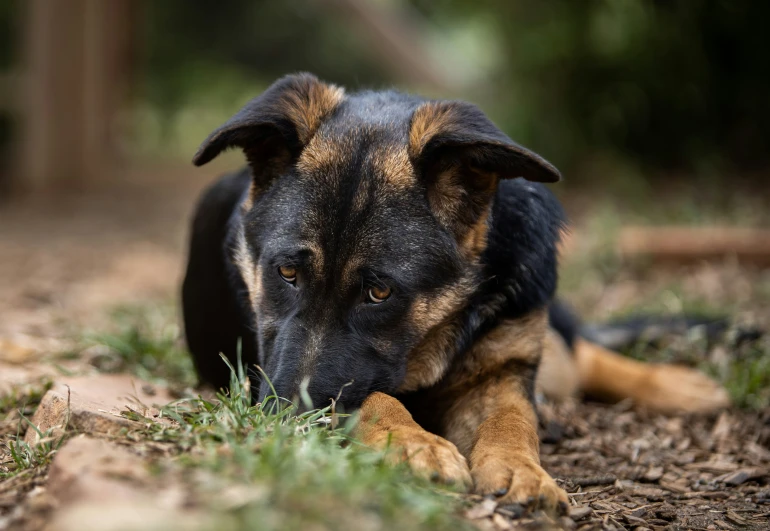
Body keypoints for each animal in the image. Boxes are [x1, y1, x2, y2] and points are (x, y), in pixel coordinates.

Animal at [183, 72, 728, 512]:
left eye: (379, 292)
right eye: (286, 272)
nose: (288, 419)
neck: (438, 328)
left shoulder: (498, 371)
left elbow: (512, 420)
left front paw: (523, 470)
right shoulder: (266, 368)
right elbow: (375, 396)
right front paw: (415, 444)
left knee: (577, 358)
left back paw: (677, 385)